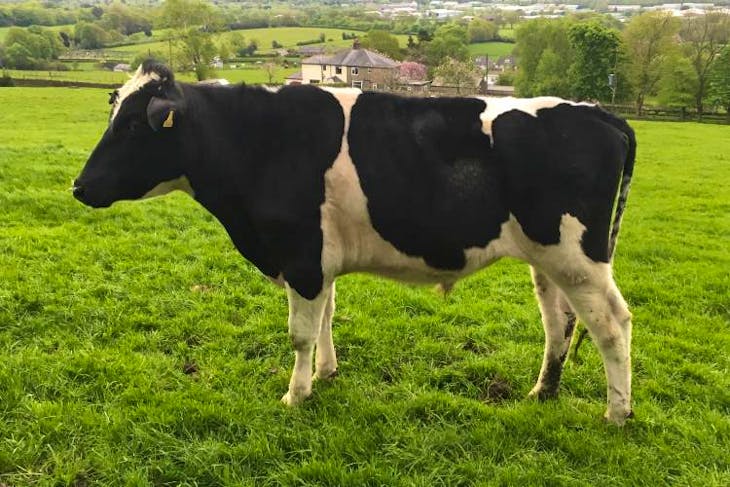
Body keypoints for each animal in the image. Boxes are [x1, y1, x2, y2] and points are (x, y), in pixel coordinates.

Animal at [73, 60, 637, 425]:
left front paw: (295, 395)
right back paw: (543, 392)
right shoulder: (319, 262)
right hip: (548, 260)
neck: (257, 142)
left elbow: (300, 333)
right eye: (113, 117)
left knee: (612, 325)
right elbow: (326, 316)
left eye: (132, 126)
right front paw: (326, 374)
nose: (79, 187)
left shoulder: (301, 257)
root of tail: (597, 111)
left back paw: (617, 413)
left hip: (579, 257)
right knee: (560, 323)